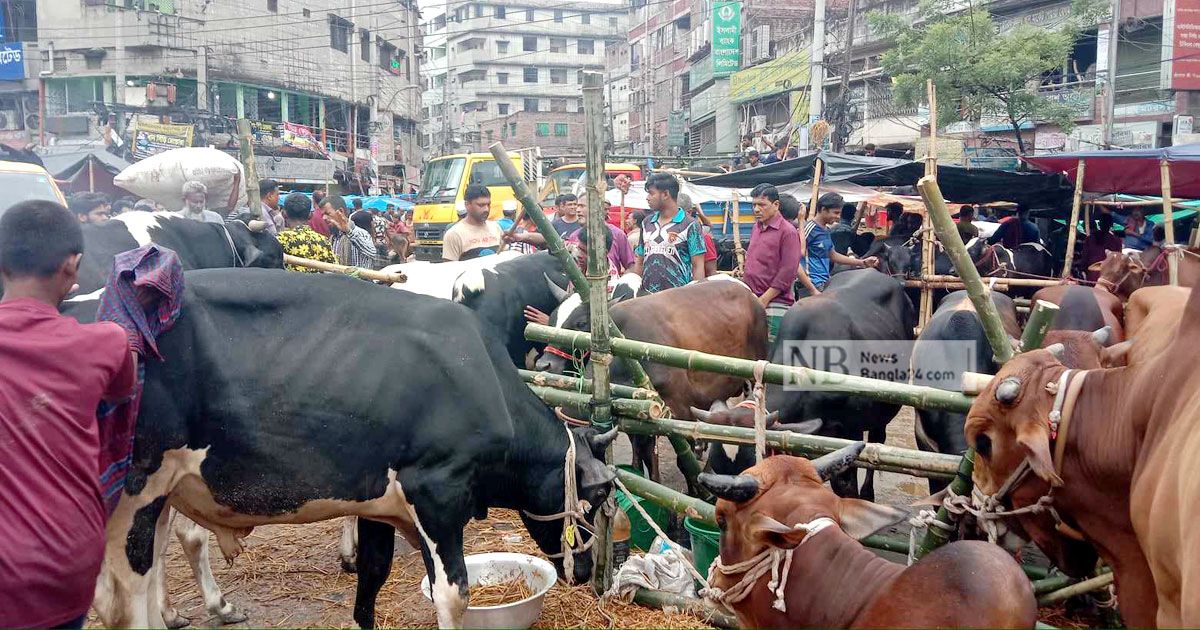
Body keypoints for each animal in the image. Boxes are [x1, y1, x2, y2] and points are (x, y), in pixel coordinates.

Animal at [91, 268, 619, 628]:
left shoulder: (379, 501)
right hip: (136, 493)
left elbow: (372, 577)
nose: (588, 573)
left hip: (162, 494)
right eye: (595, 497)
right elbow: (453, 594)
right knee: (127, 599)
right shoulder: (436, 491)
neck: (480, 379)